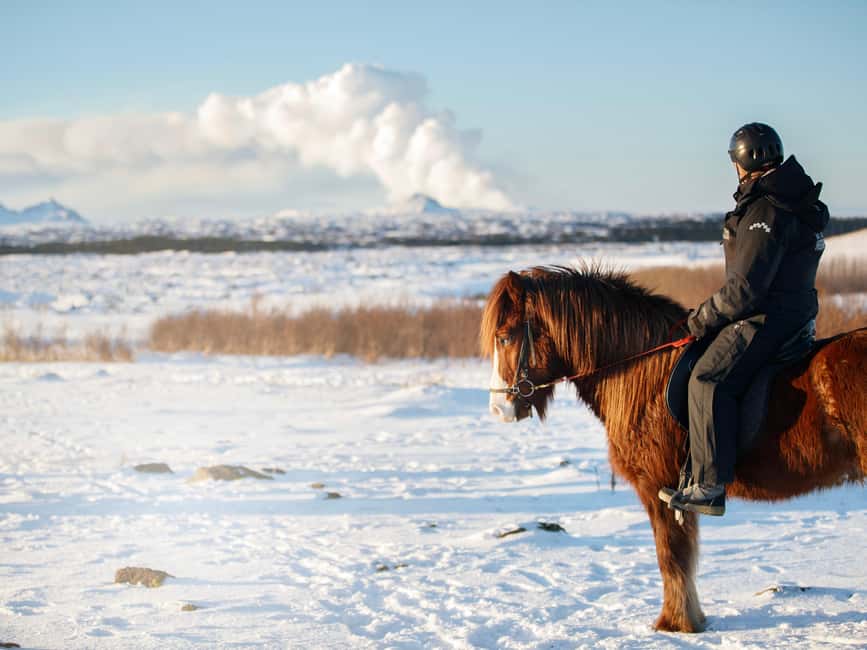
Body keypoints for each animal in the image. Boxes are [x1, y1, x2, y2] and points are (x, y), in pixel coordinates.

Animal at [481, 265, 867, 633]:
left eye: (505, 337)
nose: (499, 409)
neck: (642, 372)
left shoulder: (658, 486)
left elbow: (671, 556)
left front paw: (676, 622)